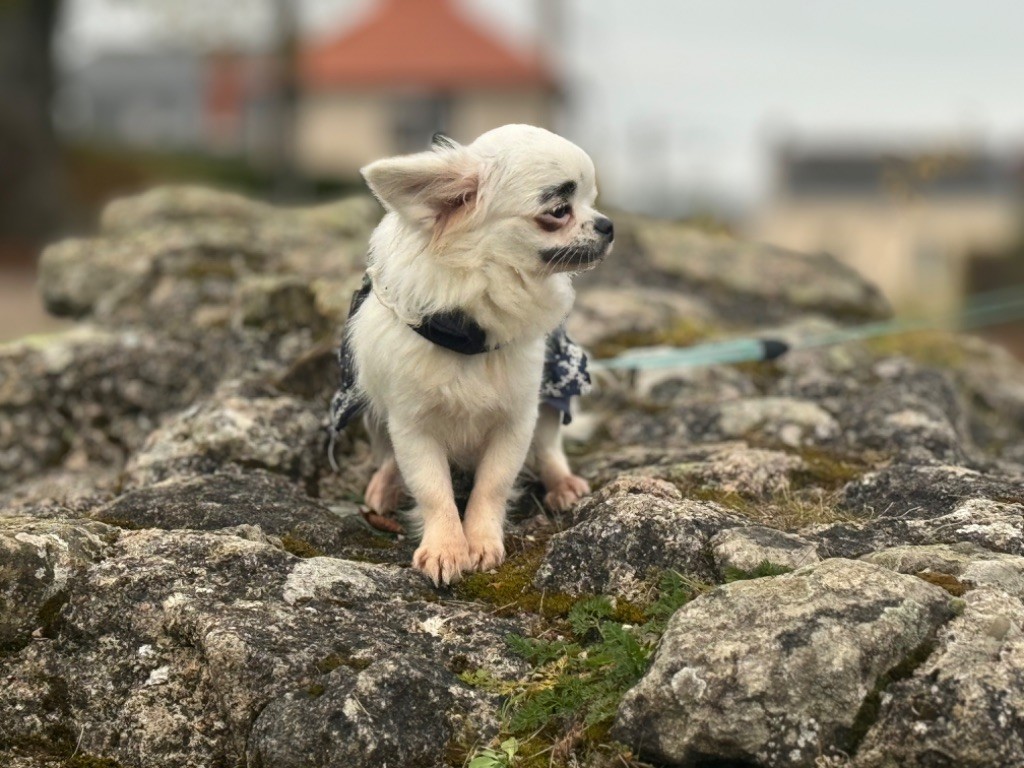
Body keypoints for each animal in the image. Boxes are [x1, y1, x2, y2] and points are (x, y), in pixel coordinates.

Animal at [331, 123, 610, 585]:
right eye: (558, 211)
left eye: (592, 201)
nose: (609, 225)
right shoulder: (412, 426)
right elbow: (433, 489)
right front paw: (445, 548)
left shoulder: (516, 418)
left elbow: (493, 484)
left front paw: (480, 542)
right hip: (367, 403)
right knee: (388, 457)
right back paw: (385, 486)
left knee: (549, 446)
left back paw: (563, 485)